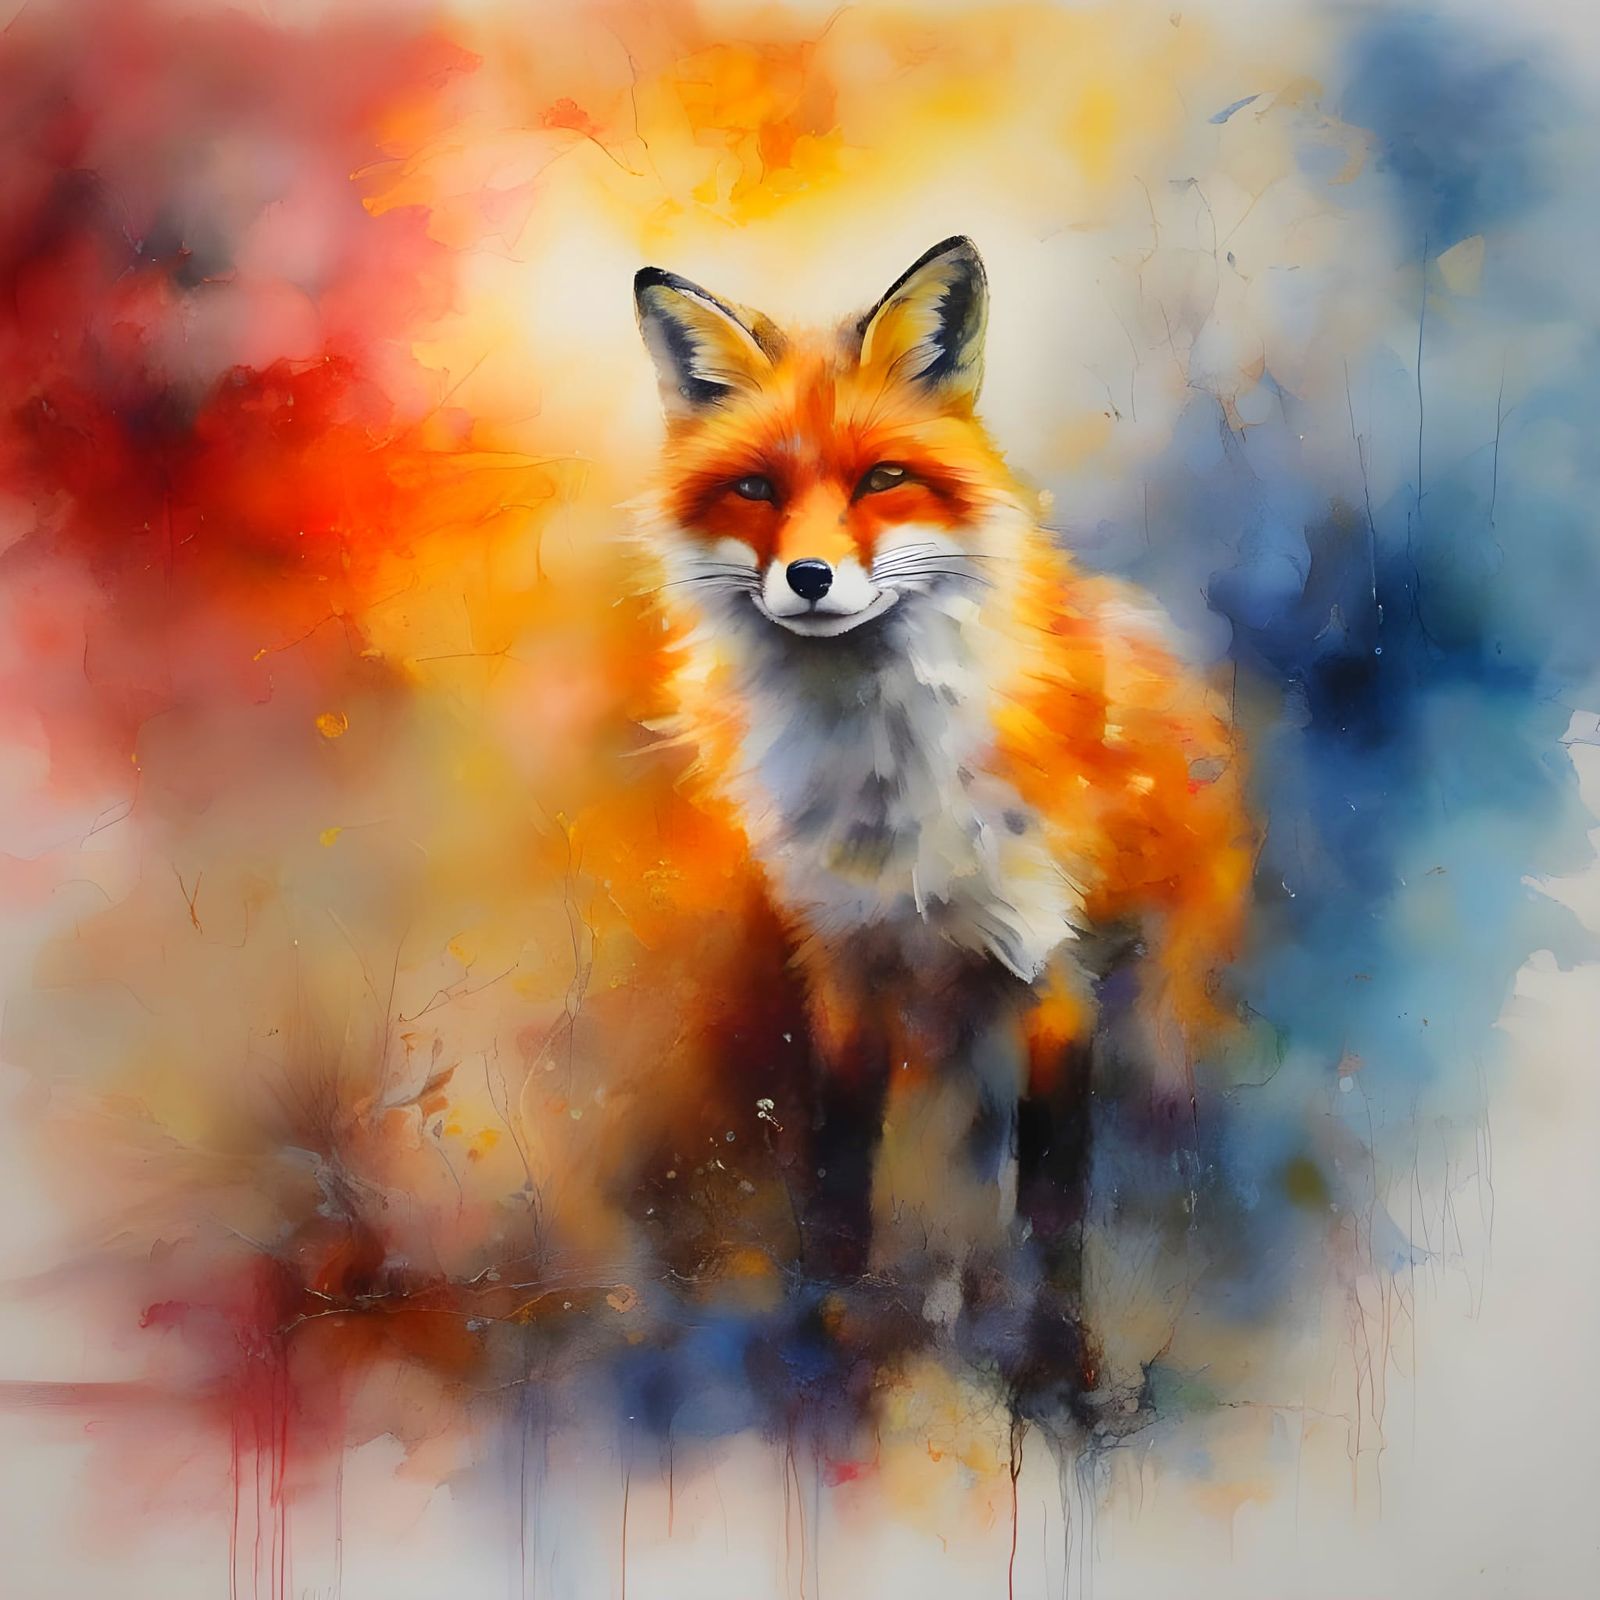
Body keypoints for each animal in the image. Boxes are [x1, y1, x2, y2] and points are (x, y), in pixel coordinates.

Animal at [631, 237, 1254, 1318]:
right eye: (755, 490)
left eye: (884, 478)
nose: (808, 578)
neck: (885, 782)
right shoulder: (843, 966)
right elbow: (838, 1165)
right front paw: (827, 1301)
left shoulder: (1051, 970)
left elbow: (1052, 1197)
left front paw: (1057, 1345)